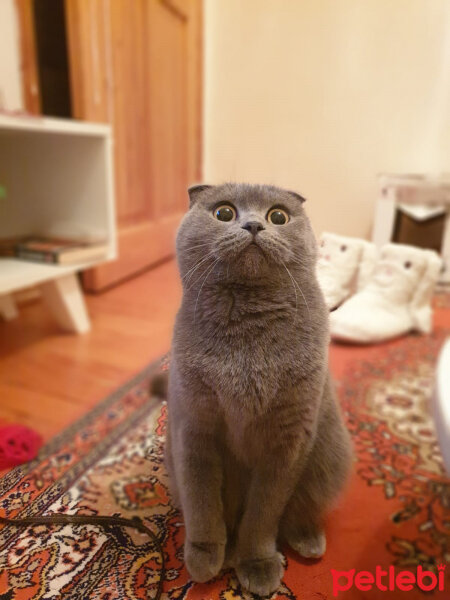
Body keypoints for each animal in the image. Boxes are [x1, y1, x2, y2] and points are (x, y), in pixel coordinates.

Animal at [164, 183, 352, 596]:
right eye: (223, 213)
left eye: (278, 216)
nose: (252, 225)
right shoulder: (195, 428)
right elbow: (202, 501)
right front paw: (205, 557)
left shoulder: (290, 437)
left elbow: (265, 511)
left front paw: (257, 563)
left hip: (329, 454)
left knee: (300, 508)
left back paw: (307, 541)